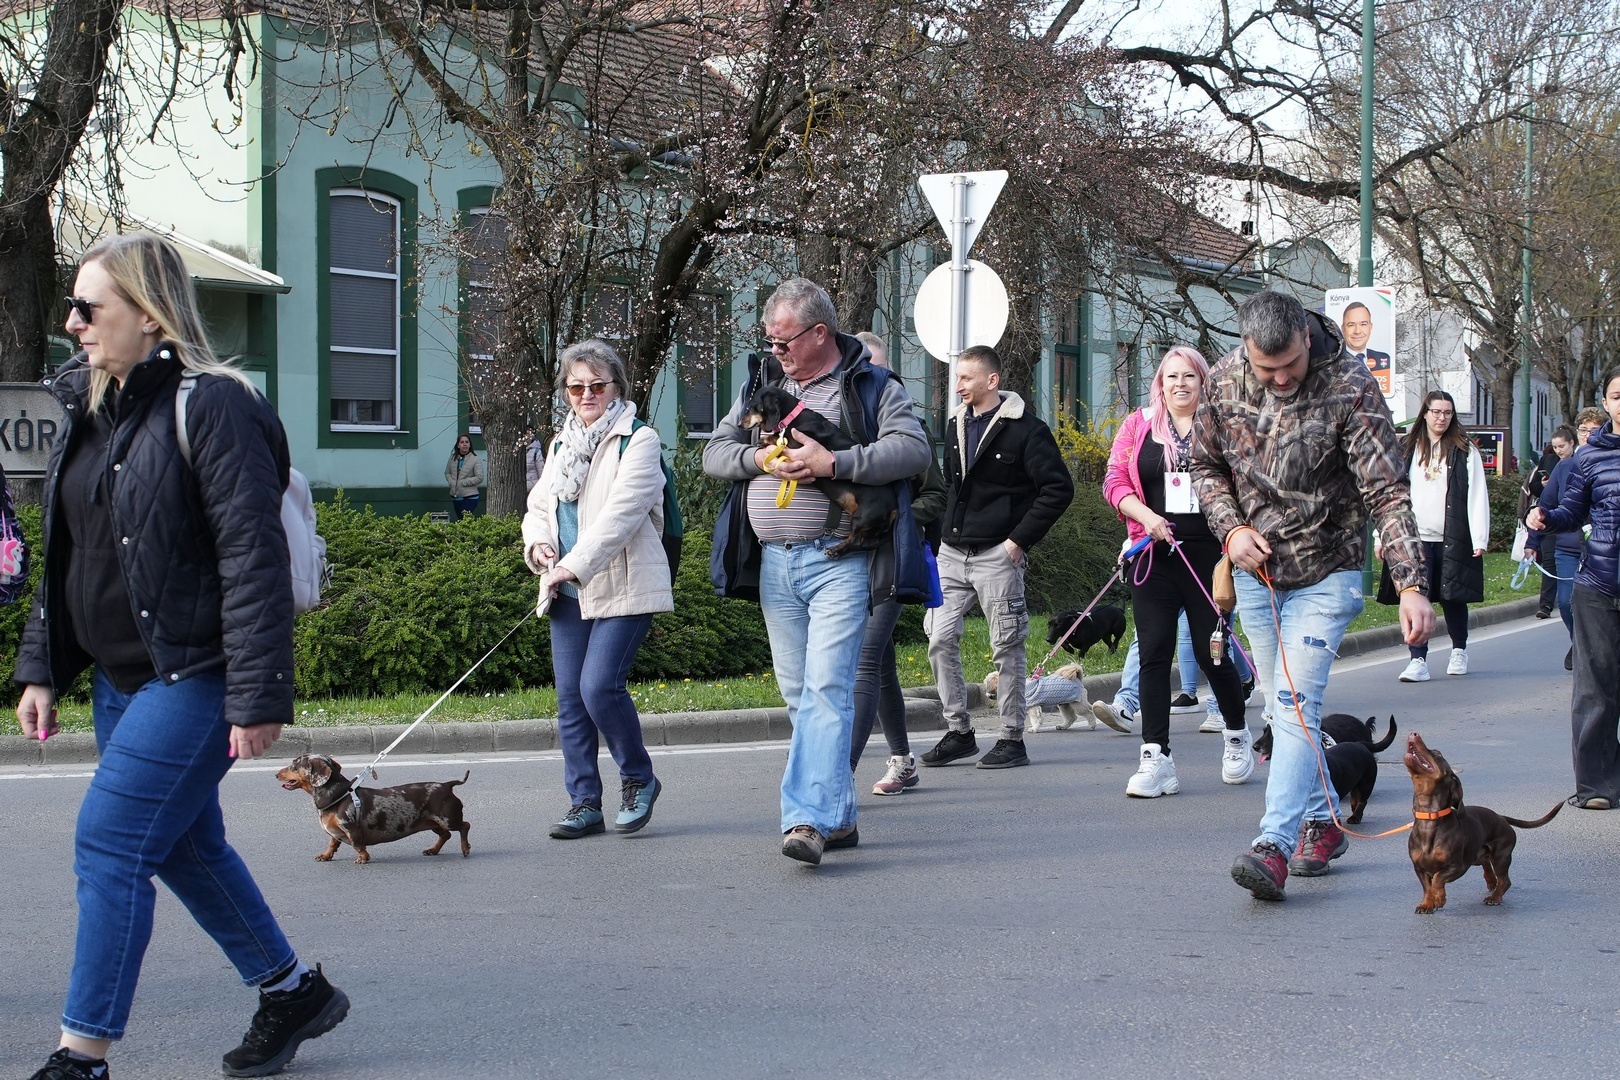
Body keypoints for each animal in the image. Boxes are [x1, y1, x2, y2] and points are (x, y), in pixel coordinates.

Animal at [277, 754, 472, 864]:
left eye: (294, 765)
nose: (277, 774)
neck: (338, 795)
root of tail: (446, 785)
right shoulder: (335, 832)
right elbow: (332, 844)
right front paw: (325, 855)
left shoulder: (351, 828)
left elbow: (357, 845)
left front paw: (363, 858)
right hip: (433, 823)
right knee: (445, 835)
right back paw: (433, 850)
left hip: (448, 819)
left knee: (465, 826)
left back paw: (465, 848)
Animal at [740, 386, 898, 558]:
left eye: (751, 406)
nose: (740, 425)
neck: (793, 416)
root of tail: (894, 509)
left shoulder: (797, 444)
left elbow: (778, 437)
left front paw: (765, 440)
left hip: (862, 516)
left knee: (856, 541)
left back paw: (835, 550)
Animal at [1403, 731, 1562, 914]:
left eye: (1437, 753)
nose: (1413, 733)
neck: (1429, 816)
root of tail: (1501, 817)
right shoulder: (1419, 868)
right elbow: (1427, 887)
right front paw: (1426, 904)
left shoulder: (1457, 866)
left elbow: (1437, 878)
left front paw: (1439, 898)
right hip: (1478, 856)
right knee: (1487, 864)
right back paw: (1491, 881)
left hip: (1501, 856)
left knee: (1505, 880)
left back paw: (1495, 898)